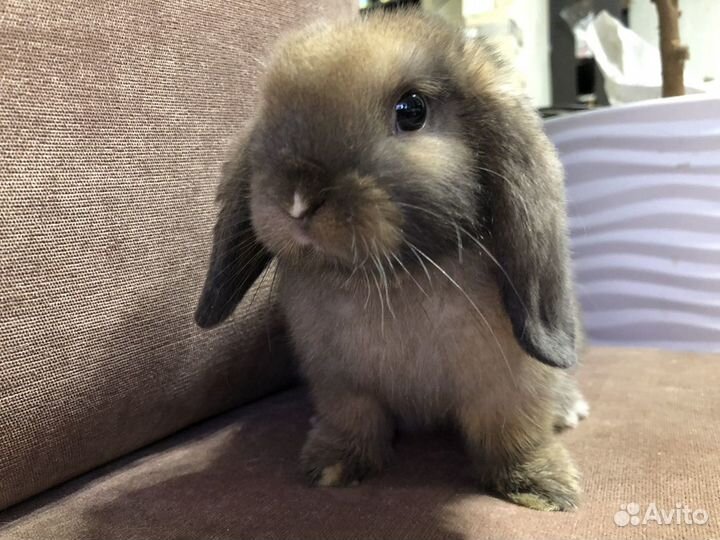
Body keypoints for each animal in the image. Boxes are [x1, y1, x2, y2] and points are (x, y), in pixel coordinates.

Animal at [195, 9, 589, 511]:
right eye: (268, 111)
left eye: (412, 110)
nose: (298, 200)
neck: (395, 277)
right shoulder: (341, 384)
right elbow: (353, 422)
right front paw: (332, 468)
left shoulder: (510, 385)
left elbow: (512, 433)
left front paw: (542, 489)